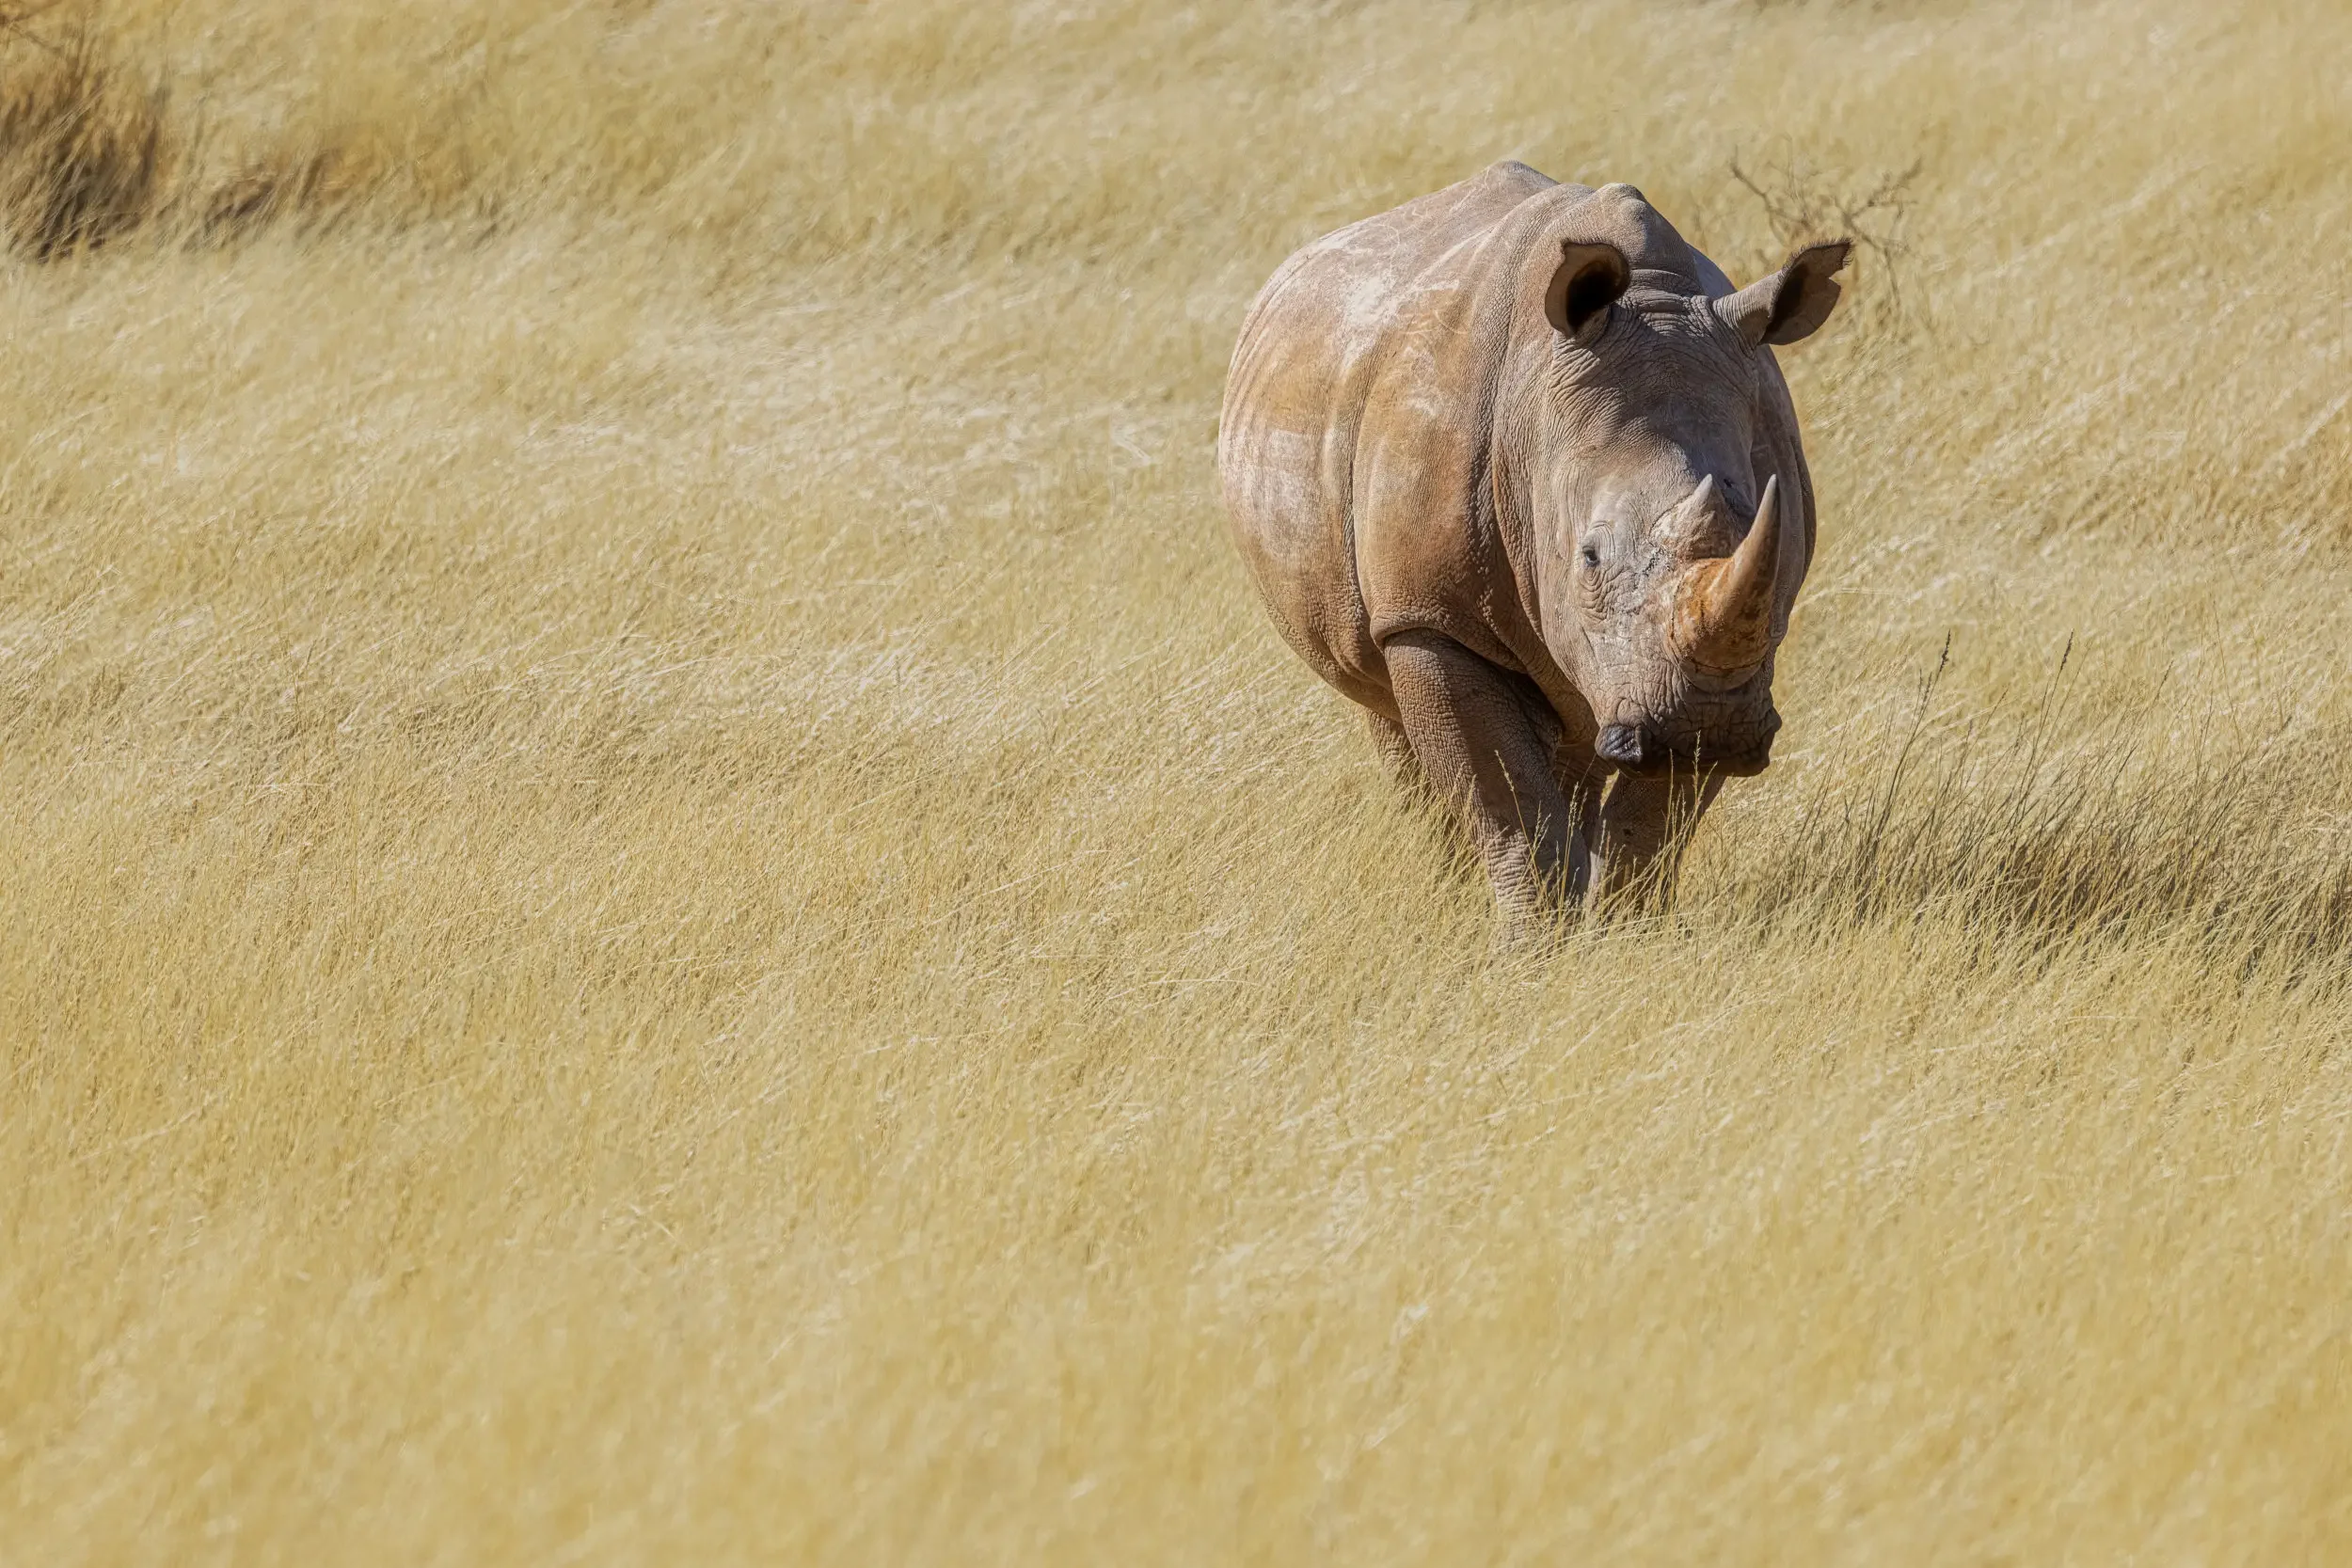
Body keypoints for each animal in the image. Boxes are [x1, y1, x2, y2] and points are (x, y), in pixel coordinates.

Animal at [1217, 161, 1849, 931]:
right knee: (1395, 722)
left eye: (1767, 535)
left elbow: (1650, 824)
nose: (1710, 730)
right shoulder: (1429, 618)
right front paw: (1538, 946)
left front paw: (1624, 935)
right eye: (1589, 556)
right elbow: (1509, 807)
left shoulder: (1736, 650)